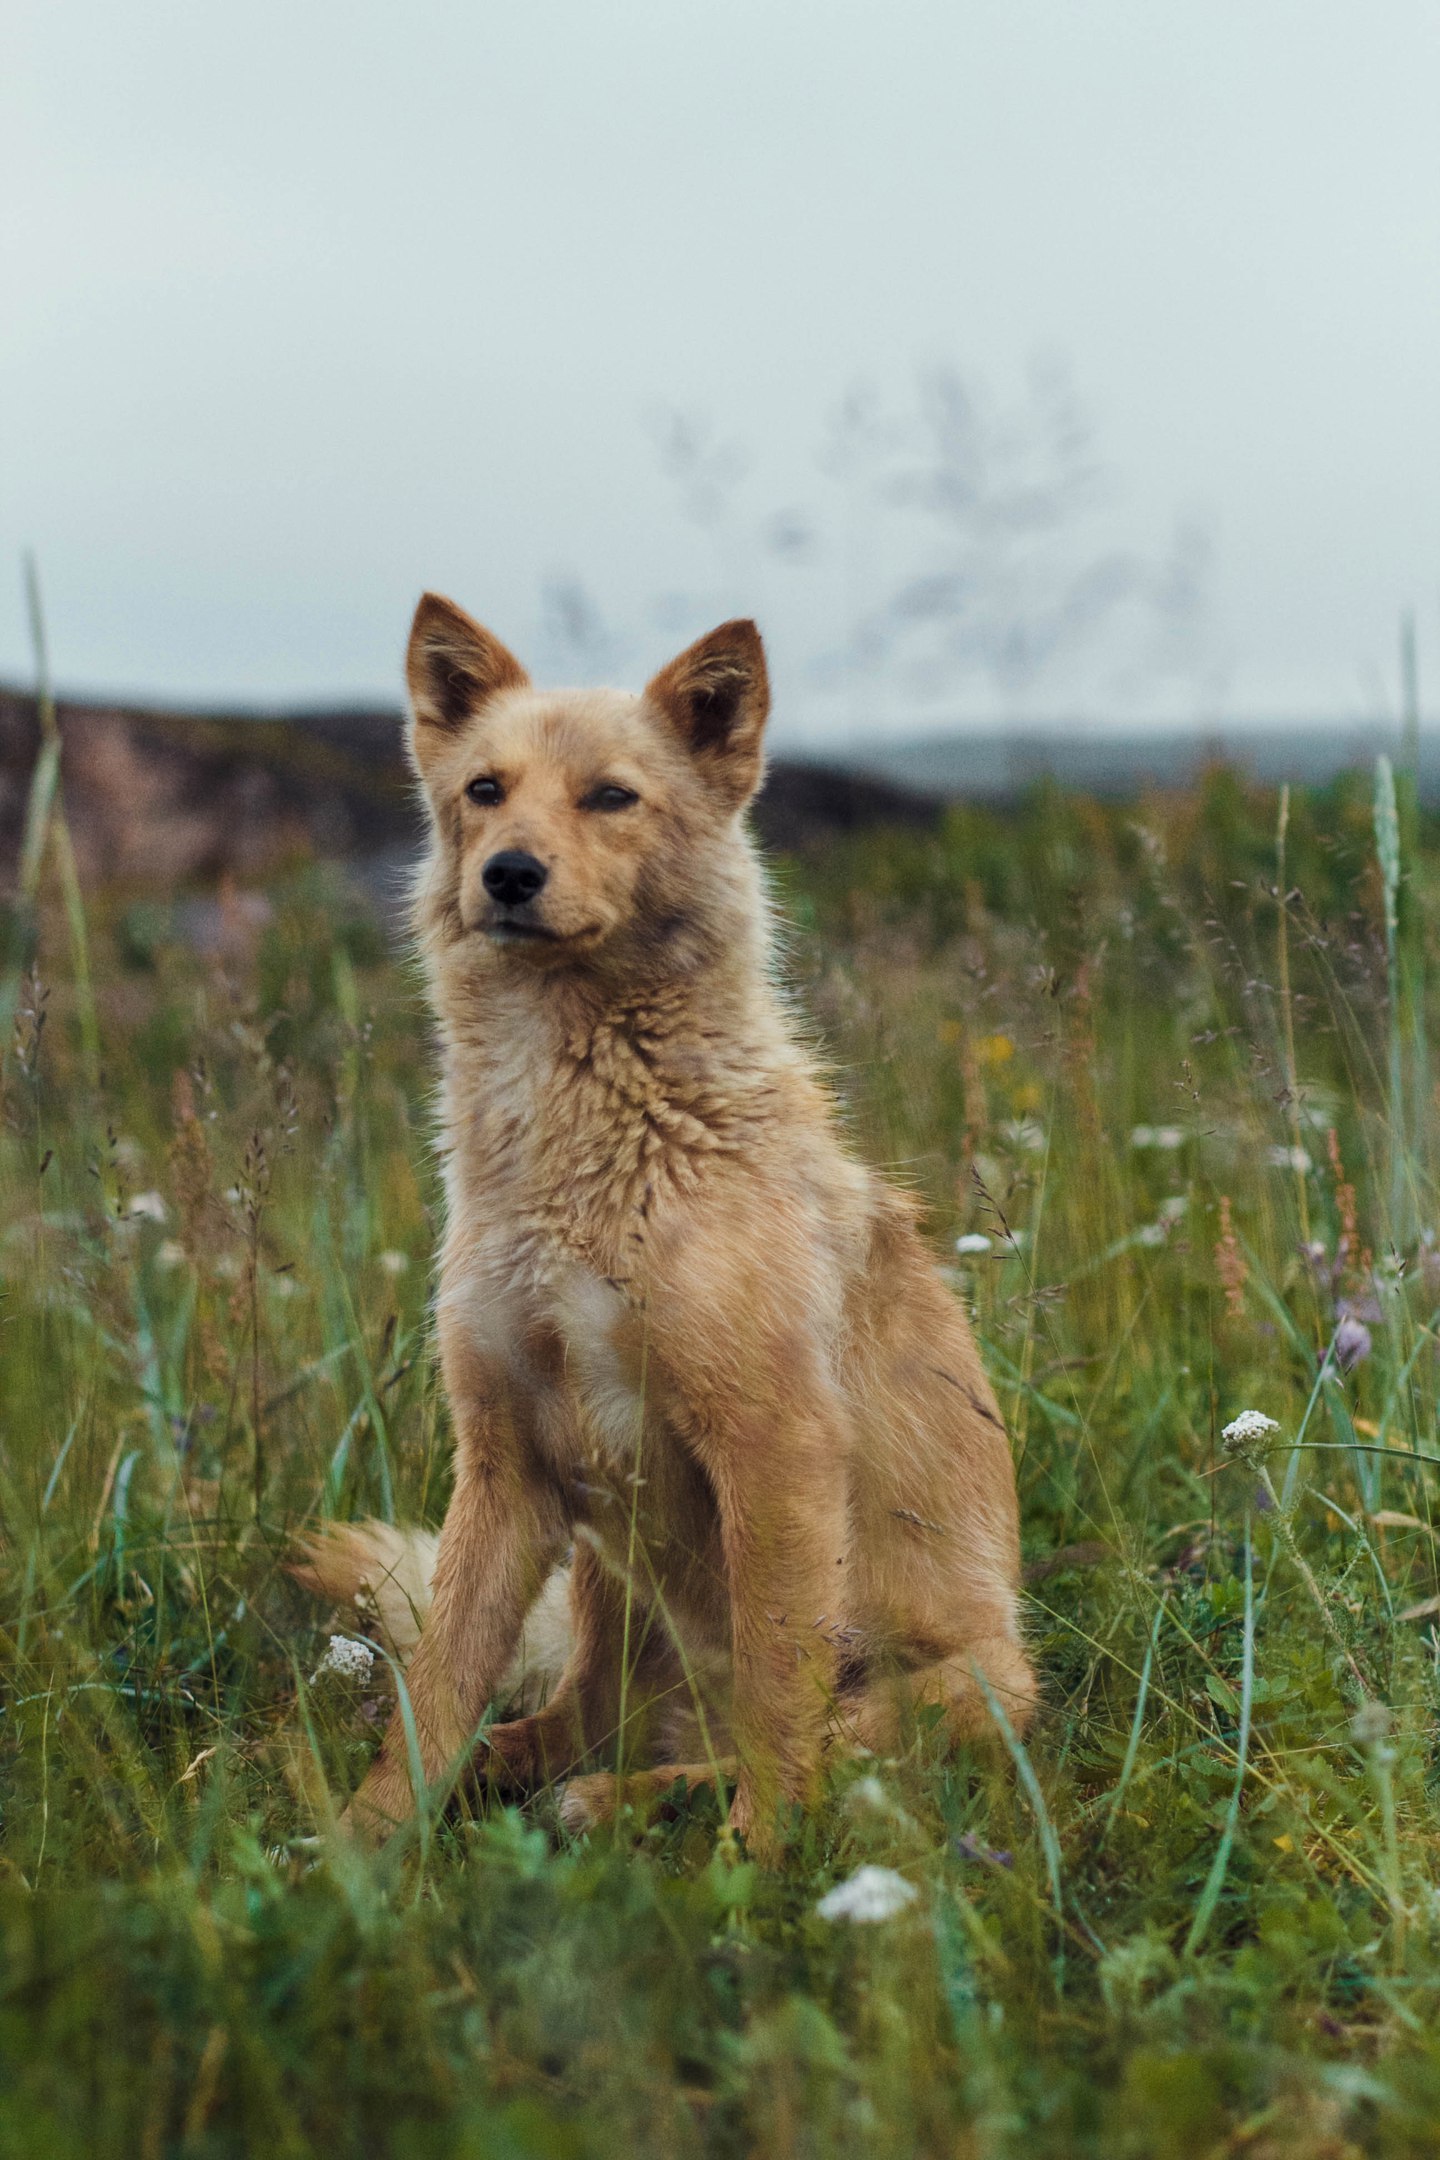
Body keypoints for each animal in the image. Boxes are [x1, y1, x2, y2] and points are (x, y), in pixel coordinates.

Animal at [295, 596, 1036, 1857]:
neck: (589, 1137)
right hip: (607, 1576)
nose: (508, 874)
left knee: (798, 1749)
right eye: (485, 789)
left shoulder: (776, 1444)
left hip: (969, 1686)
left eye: (611, 796)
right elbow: (434, 1690)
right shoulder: (505, 1463)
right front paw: (358, 1848)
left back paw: (632, 1804)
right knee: (570, 1719)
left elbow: (782, 1712)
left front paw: (758, 1860)